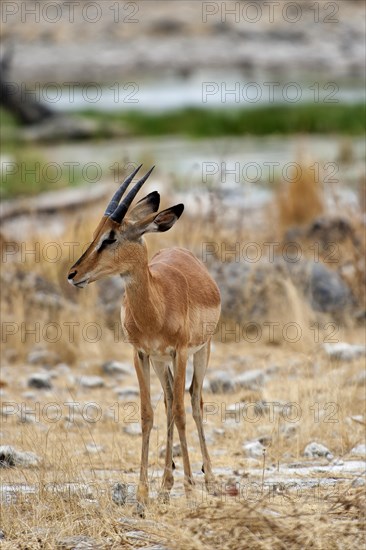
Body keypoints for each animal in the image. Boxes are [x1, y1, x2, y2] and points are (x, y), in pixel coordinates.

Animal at [68, 165, 222, 508]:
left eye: (110, 237)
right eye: (97, 232)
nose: (73, 274)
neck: (157, 305)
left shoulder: (180, 352)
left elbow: (181, 412)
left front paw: (189, 489)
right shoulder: (140, 354)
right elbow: (147, 414)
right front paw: (142, 493)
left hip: (201, 352)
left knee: (194, 401)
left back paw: (208, 480)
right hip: (161, 362)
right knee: (168, 400)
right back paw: (165, 486)